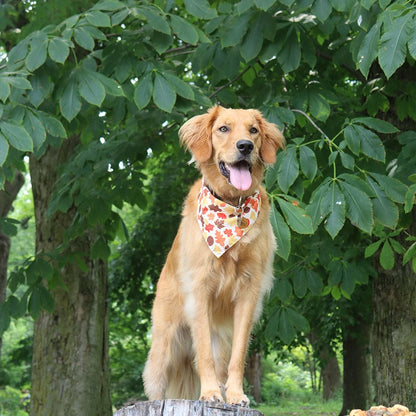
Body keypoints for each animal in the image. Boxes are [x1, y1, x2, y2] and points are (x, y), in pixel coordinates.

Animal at [142, 105, 282, 404]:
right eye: (223, 129)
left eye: (254, 130)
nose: (245, 146)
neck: (232, 205)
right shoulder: (200, 290)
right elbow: (203, 353)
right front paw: (208, 394)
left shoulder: (249, 293)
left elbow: (238, 356)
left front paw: (235, 394)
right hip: (165, 344)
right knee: (157, 382)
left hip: (219, 335)